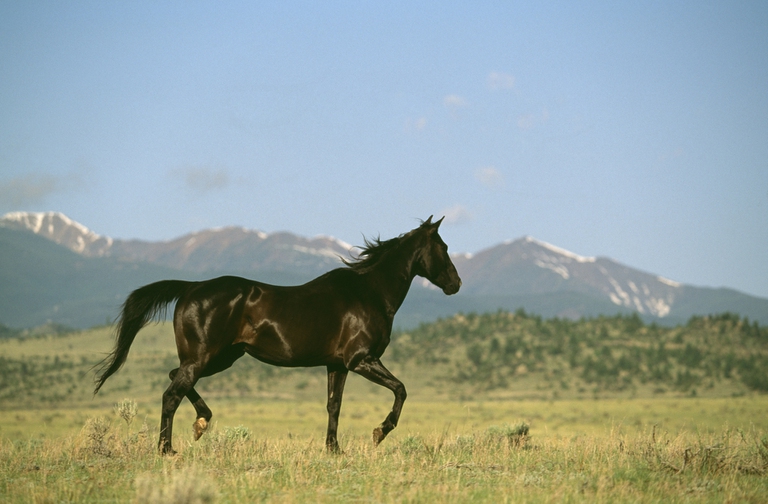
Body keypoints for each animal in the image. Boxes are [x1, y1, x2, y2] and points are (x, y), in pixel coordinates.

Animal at [93, 216, 461, 454]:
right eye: (442, 247)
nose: (456, 284)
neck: (368, 292)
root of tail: (190, 288)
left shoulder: (337, 365)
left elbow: (334, 406)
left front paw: (334, 450)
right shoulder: (361, 360)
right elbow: (401, 389)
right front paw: (379, 433)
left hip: (218, 358)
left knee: (175, 379)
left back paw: (201, 423)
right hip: (205, 358)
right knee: (171, 394)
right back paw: (167, 449)